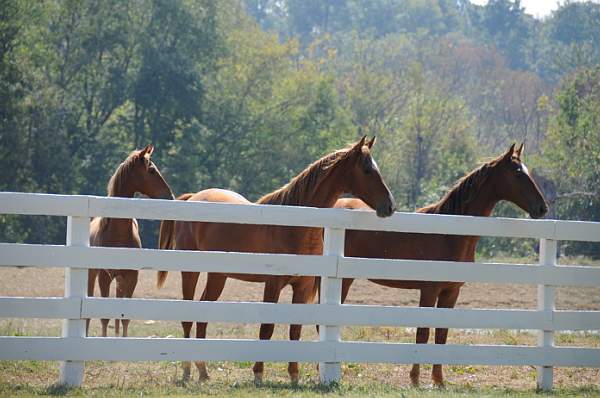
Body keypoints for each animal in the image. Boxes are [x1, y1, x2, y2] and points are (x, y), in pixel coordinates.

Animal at [88, 145, 175, 338]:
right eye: (151, 170)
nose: (170, 196)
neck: (117, 234)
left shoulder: (131, 277)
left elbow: (125, 317)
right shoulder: (104, 277)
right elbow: (104, 318)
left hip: (120, 280)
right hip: (92, 274)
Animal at [157, 136, 396, 382]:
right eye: (367, 169)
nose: (390, 206)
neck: (294, 227)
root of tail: (193, 197)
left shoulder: (303, 287)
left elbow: (295, 330)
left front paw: (294, 375)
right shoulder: (273, 284)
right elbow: (267, 328)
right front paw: (258, 374)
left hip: (218, 276)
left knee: (202, 312)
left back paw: (203, 371)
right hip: (191, 271)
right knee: (188, 316)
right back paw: (187, 371)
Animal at [338, 143, 548, 386]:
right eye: (517, 173)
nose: (542, 208)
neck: (448, 233)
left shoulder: (451, 292)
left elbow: (441, 334)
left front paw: (438, 380)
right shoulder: (429, 291)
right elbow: (423, 333)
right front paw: (415, 379)